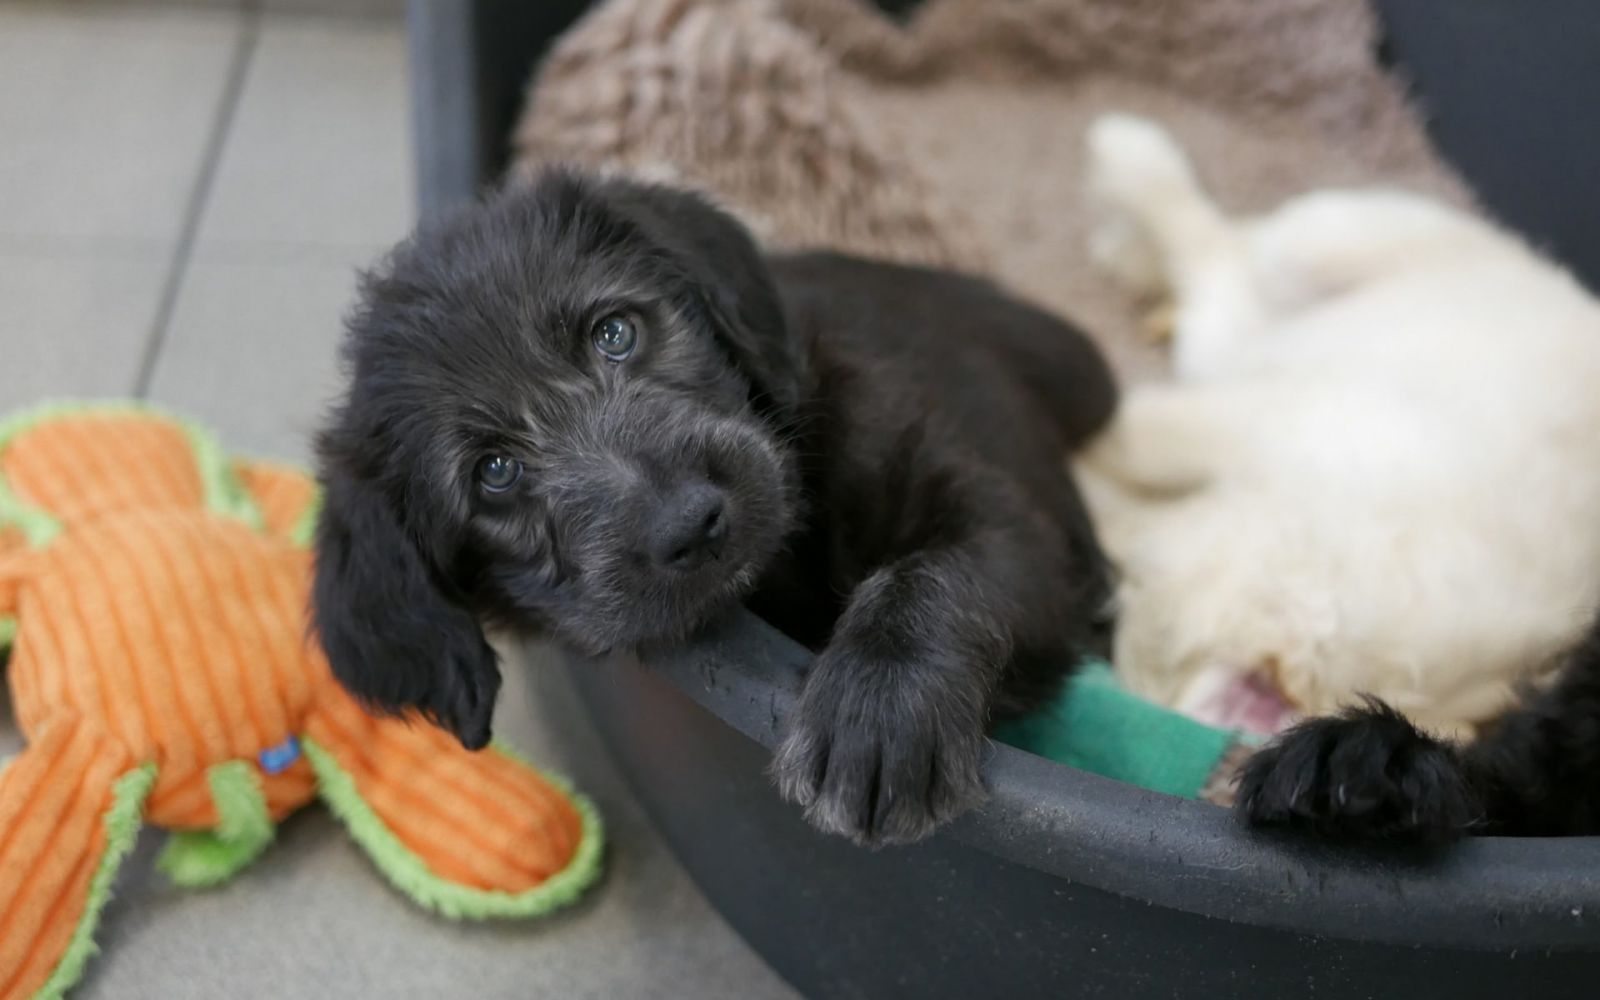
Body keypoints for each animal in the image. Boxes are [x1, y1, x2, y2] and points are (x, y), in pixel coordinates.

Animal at [312, 171, 1113, 844]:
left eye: (615, 333)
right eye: (495, 474)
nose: (690, 524)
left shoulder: (1014, 526)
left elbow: (940, 571)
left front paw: (881, 704)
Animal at [1075, 116, 1600, 736]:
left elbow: (1126, 447)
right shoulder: (1261, 419)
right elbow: (1136, 435)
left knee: (1220, 267)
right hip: (1338, 237)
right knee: (1229, 245)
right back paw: (1135, 164)